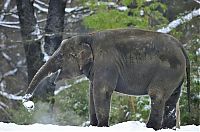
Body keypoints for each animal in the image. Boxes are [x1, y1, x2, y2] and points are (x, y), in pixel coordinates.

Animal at [22, 28, 190, 130]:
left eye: (61, 56)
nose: (29, 104)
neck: (88, 37)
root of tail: (181, 47)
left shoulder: (106, 64)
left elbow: (101, 91)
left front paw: (102, 126)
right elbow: (91, 94)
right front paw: (93, 126)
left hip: (167, 71)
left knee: (157, 95)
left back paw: (149, 127)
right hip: (175, 75)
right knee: (172, 99)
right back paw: (168, 128)